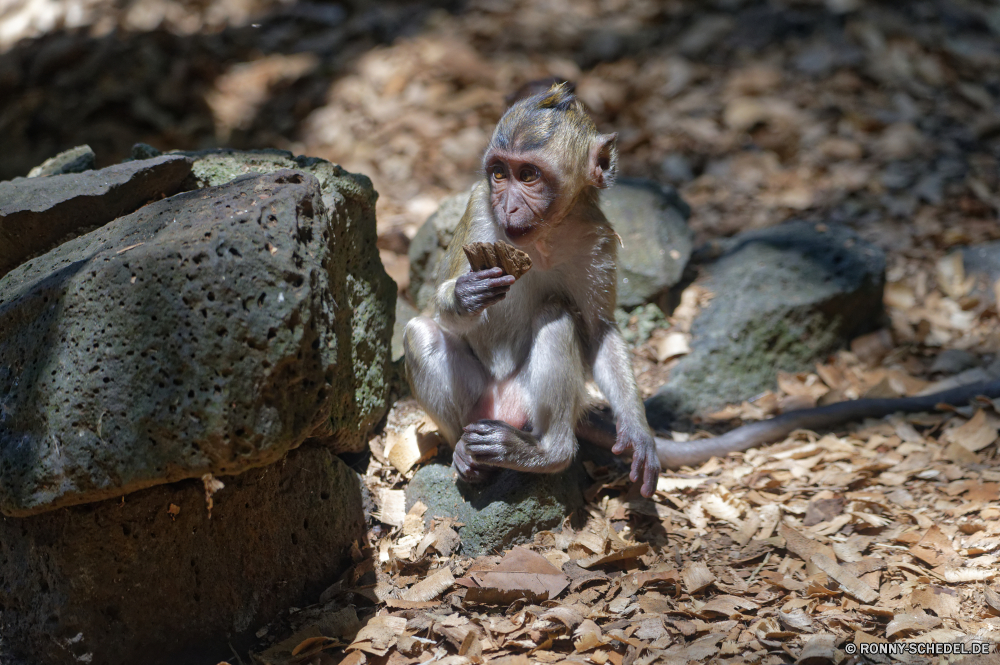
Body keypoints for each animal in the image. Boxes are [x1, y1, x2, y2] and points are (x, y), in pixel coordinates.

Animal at [398, 81, 664, 492]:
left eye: (527, 176)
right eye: (498, 174)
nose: (506, 206)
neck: (542, 237)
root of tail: (501, 408)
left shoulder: (597, 237)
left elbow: (599, 331)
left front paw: (638, 431)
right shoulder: (478, 207)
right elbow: (434, 312)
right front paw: (465, 295)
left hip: (525, 403)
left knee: (557, 316)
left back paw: (546, 453)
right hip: (476, 402)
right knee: (419, 332)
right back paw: (463, 452)